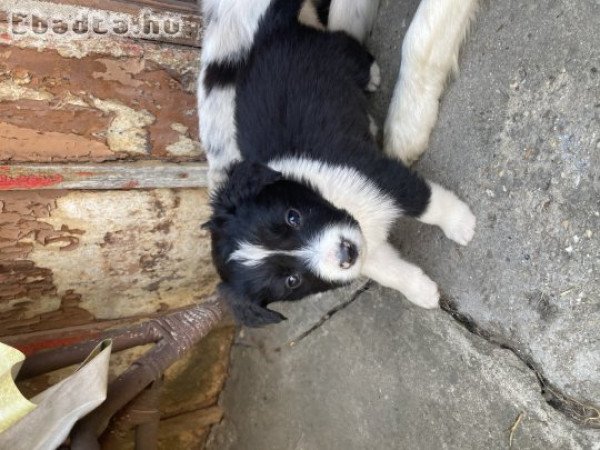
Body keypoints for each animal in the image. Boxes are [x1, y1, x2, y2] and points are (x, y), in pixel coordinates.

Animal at [200, 0, 478, 326]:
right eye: (292, 281)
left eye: (293, 216)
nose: (346, 253)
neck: (337, 200)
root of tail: (268, 34)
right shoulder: (368, 248)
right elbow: (390, 272)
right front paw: (421, 292)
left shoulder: (380, 174)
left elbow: (429, 204)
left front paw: (461, 224)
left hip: (335, 52)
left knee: (351, 48)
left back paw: (372, 76)